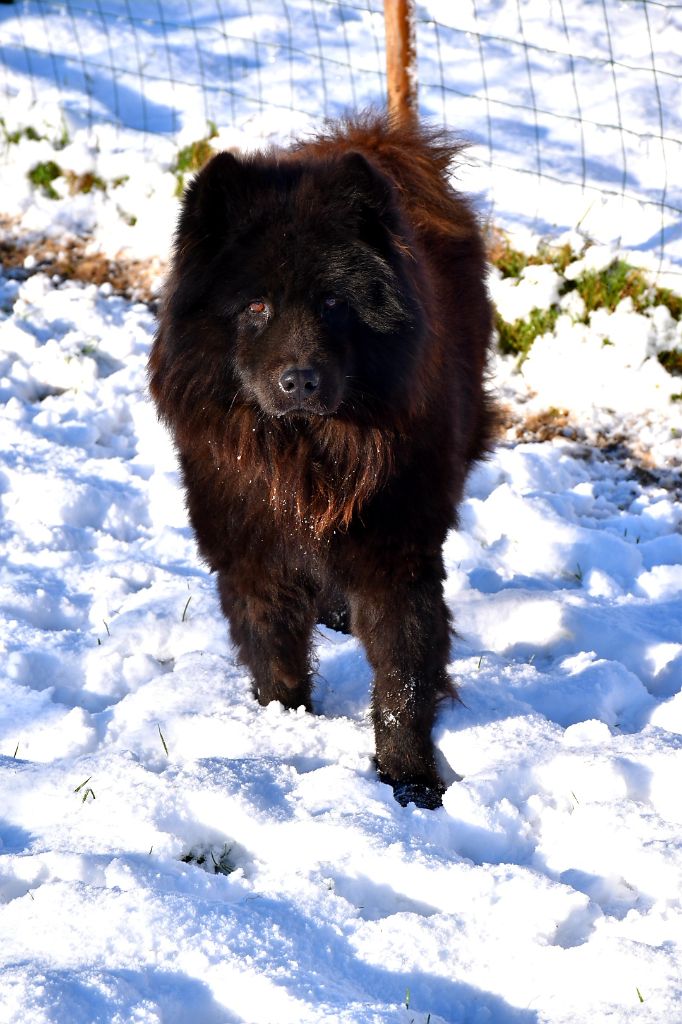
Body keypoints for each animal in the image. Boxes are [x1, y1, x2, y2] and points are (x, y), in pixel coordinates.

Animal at [148, 114, 491, 806]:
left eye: (334, 303)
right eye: (256, 306)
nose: (300, 380)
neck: (303, 455)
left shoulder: (397, 555)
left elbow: (402, 680)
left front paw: (410, 782)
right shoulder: (251, 553)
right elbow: (276, 655)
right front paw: (286, 725)